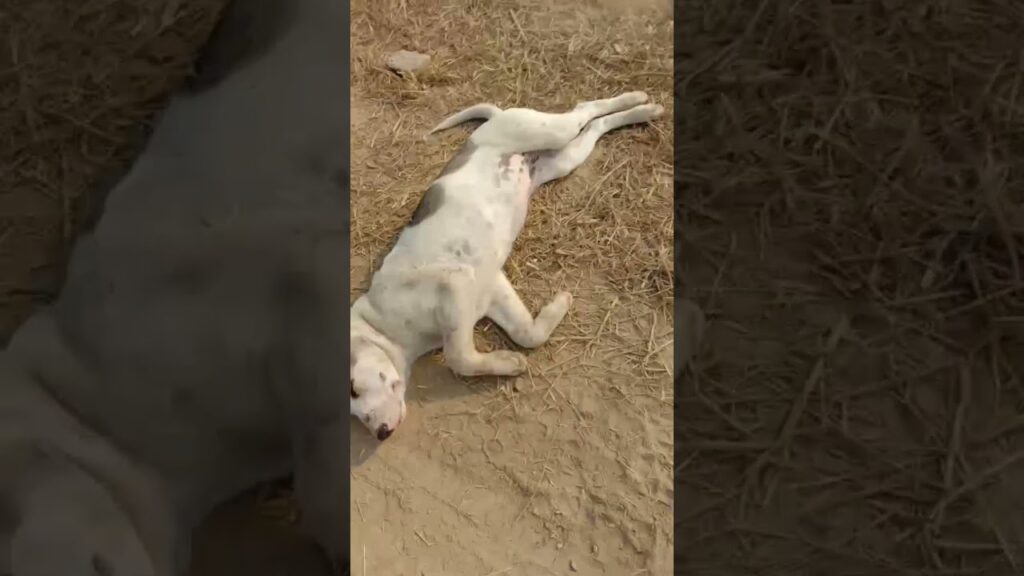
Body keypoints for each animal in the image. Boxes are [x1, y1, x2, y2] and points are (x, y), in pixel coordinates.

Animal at [348, 91, 659, 436]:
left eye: (352, 389)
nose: (380, 433)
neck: (382, 325)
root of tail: (495, 118)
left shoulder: (454, 282)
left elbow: (459, 357)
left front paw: (510, 364)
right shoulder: (492, 287)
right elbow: (528, 334)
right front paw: (558, 307)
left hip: (548, 131)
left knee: (584, 109)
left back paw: (640, 101)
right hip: (562, 159)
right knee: (595, 126)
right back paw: (643, 112)